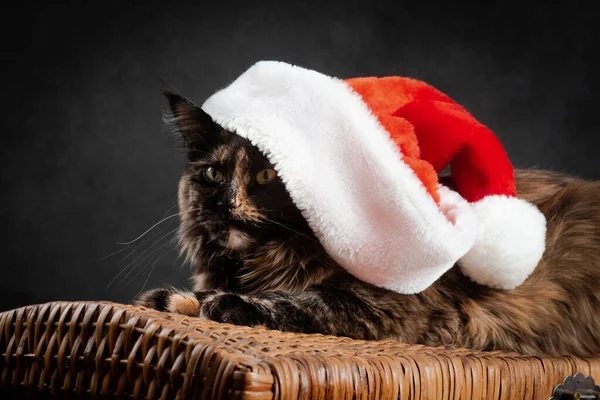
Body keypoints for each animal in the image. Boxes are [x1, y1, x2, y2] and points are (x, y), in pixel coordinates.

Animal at [135, 92, 600, 358]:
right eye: (213, 174)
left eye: (267, 176)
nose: (225, 203)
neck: (260, 260)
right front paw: (175, 300)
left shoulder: (388, 309)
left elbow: (298, 301)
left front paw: (229, 304)